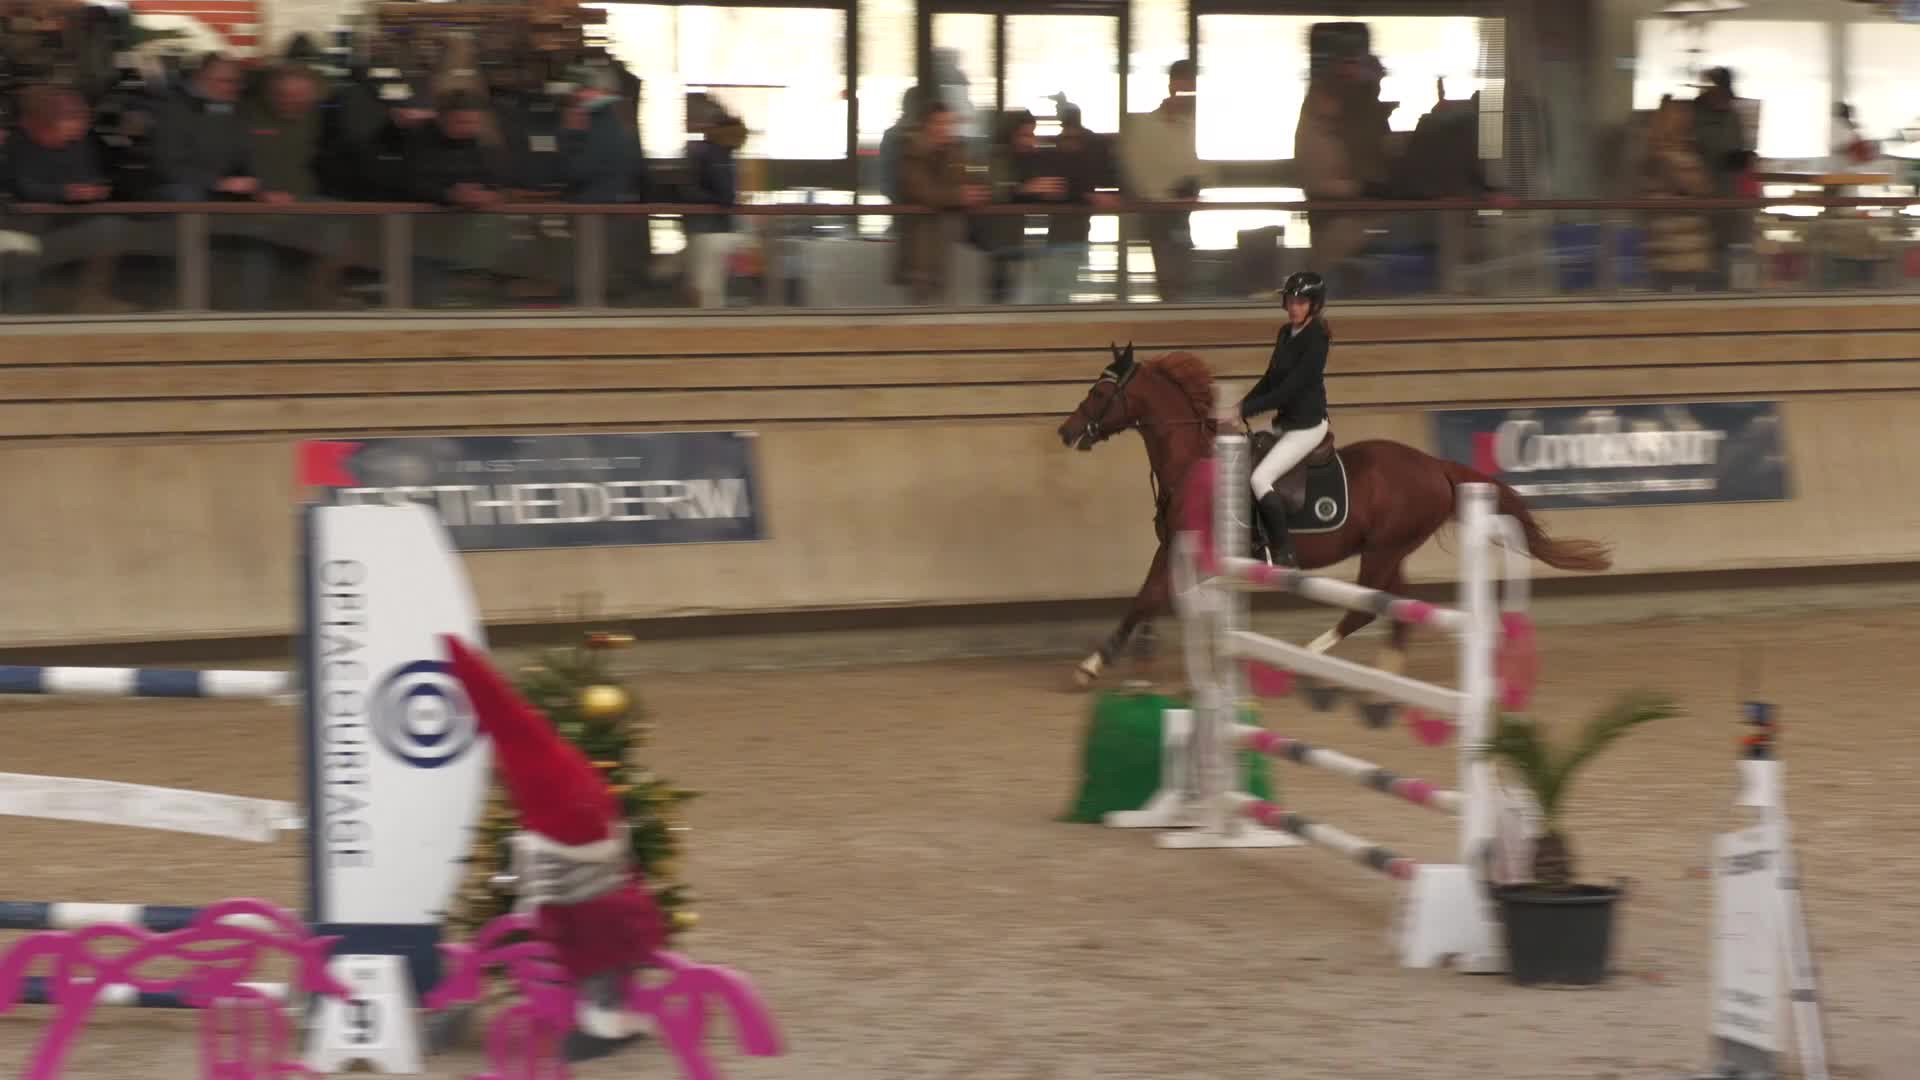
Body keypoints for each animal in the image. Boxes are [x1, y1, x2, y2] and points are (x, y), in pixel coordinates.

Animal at [1054, 343, 1613, 688]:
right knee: (1394, 603)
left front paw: (1091, 666)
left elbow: (1152, 598)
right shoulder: (1171, 546)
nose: (1066, 431)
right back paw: (1387, 670)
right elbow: (1147, 599)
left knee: (1364, 608)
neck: (1194, 461)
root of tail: (1434, 464)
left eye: (1100, 392)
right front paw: (1125, 657)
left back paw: (1309, 657)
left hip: (1383, 549)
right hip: (1390, 550)